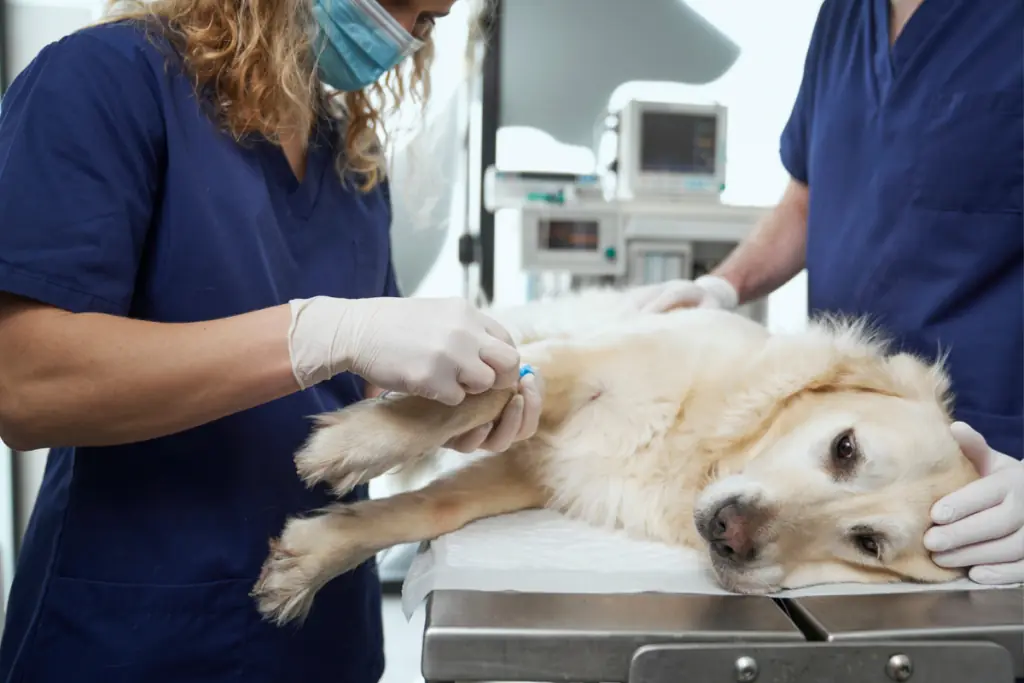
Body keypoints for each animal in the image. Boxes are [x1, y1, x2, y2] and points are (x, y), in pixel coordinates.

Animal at [251, 286, 978, 626]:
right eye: (844, 448)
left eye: (867, 544)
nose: (731, 532)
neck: (698, 452)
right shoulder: (573, 366)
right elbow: (485, 392)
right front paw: (352, 443)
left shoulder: (529, 471)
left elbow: (431, 507)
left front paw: (310, 558)